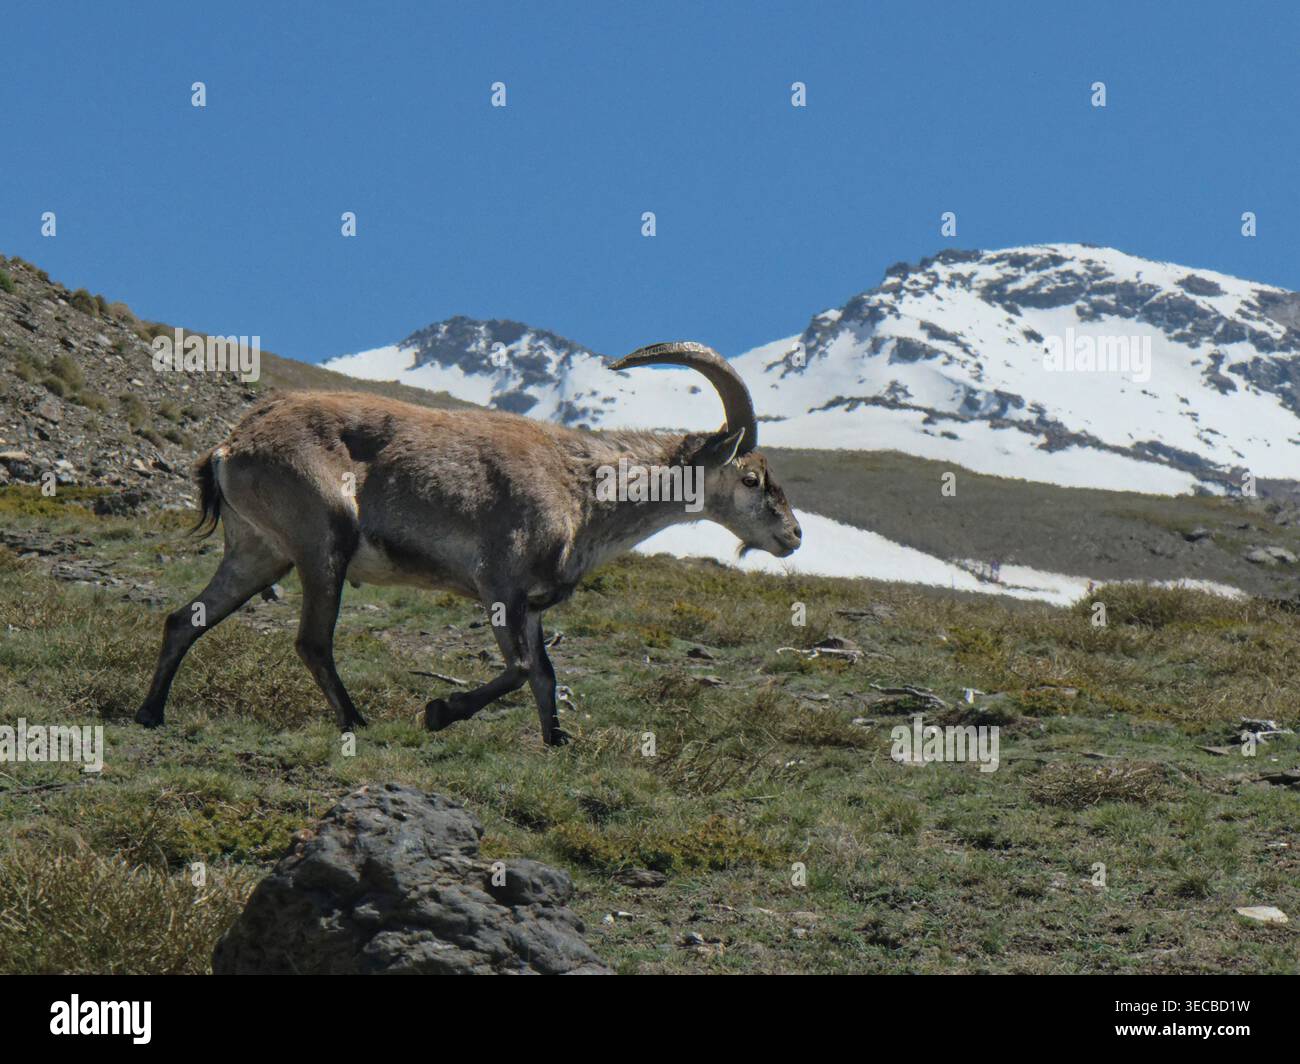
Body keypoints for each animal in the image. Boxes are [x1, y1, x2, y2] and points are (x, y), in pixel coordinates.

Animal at [134, 341, 802, 745]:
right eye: (751, 478)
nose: (794, 535)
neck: (583, 491)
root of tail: (230, 447)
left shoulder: (531, 605)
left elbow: (545, 674)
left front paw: (558, 741)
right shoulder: (497, 583)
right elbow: (522, 667)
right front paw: (438, 712)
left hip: (258, 551)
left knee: (183, 619)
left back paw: (150, 712)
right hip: (324, 540)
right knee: (311, 641)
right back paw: (356, 720)